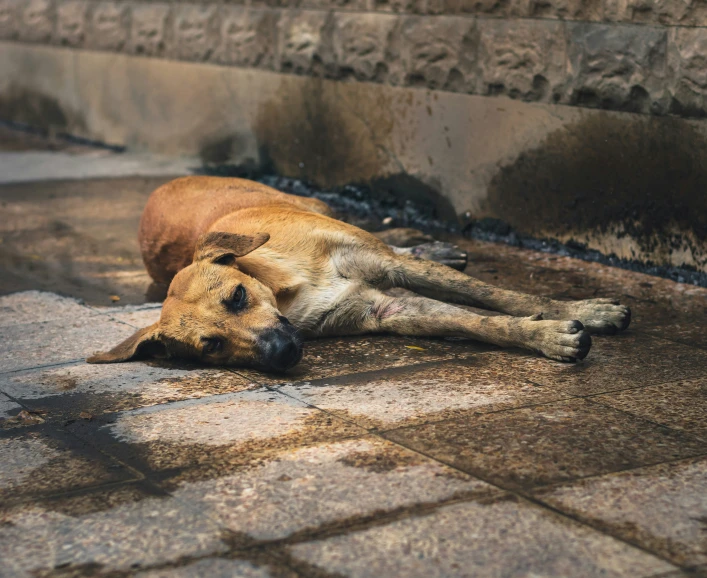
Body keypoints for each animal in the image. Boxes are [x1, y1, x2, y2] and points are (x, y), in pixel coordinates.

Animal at [88, 173, 632, 368]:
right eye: (212, 347)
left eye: (237, 297)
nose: (281, 353)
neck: (287, 287)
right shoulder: (387, 309)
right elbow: (480, 321)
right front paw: (545, 336)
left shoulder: (383, 264)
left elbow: (502, 296)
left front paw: (584, 309)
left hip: (324, 209)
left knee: (399, 244)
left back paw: (435, 246)